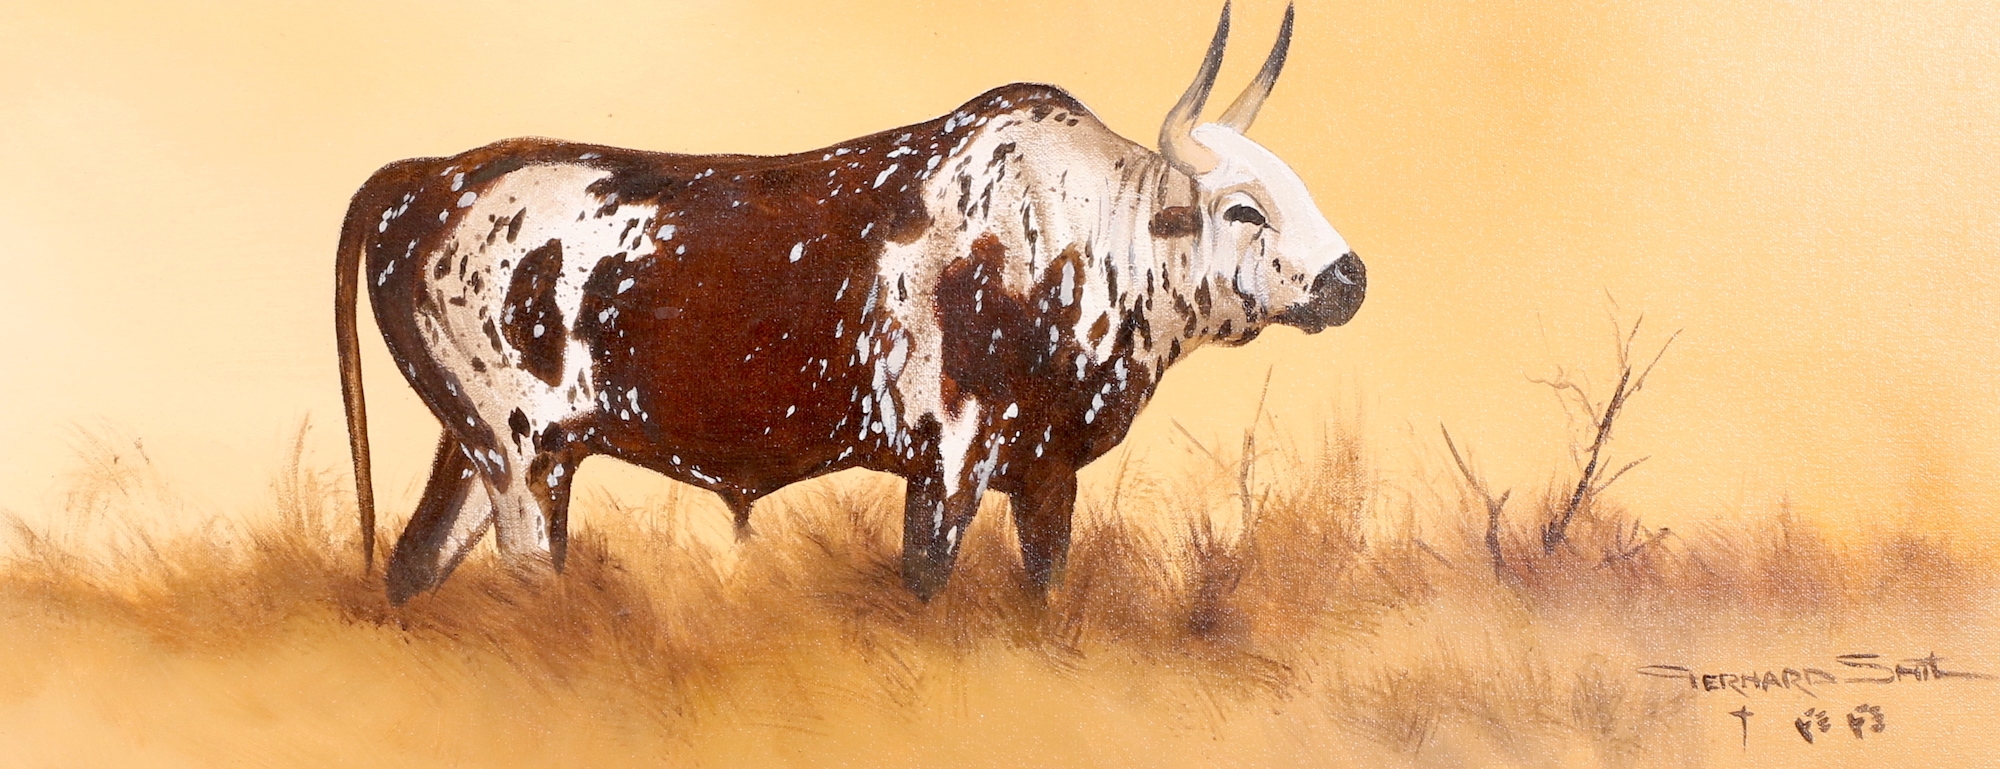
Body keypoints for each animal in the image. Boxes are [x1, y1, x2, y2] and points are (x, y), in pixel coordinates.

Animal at [336, 2, 1365, 604]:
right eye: (1243, 205)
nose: (1350, 277)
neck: (1070, 239)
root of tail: (432, 175)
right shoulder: (951, 462)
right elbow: (926, 588)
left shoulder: (1046, 473)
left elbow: (1042, 595)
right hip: (521, 461)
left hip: (478, 450)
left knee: (411, 566)